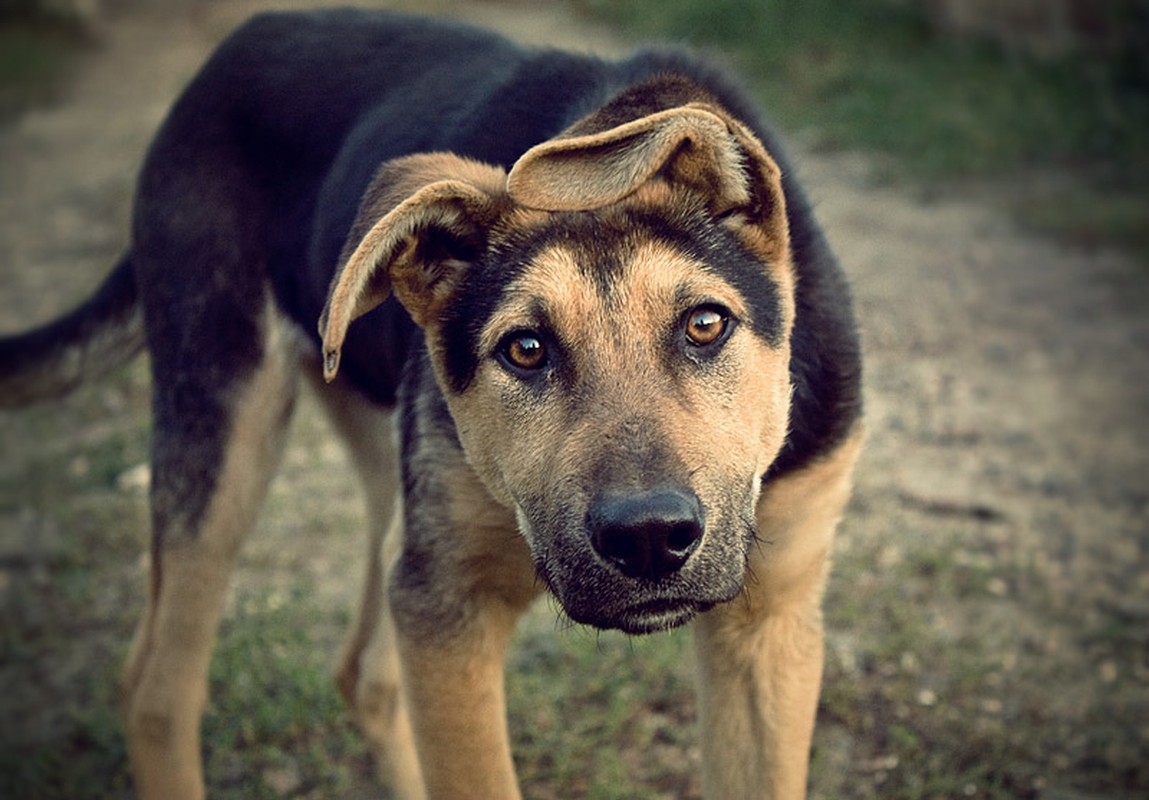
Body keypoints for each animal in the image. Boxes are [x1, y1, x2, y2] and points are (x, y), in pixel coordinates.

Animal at [0, 7, 864, 800]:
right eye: (524, 349)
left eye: (705, 324)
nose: (648, 538)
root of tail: (227, 52)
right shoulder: (447, 603)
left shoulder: (769, 616)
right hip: (222, 419)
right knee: (157, 692)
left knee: (364, 675)